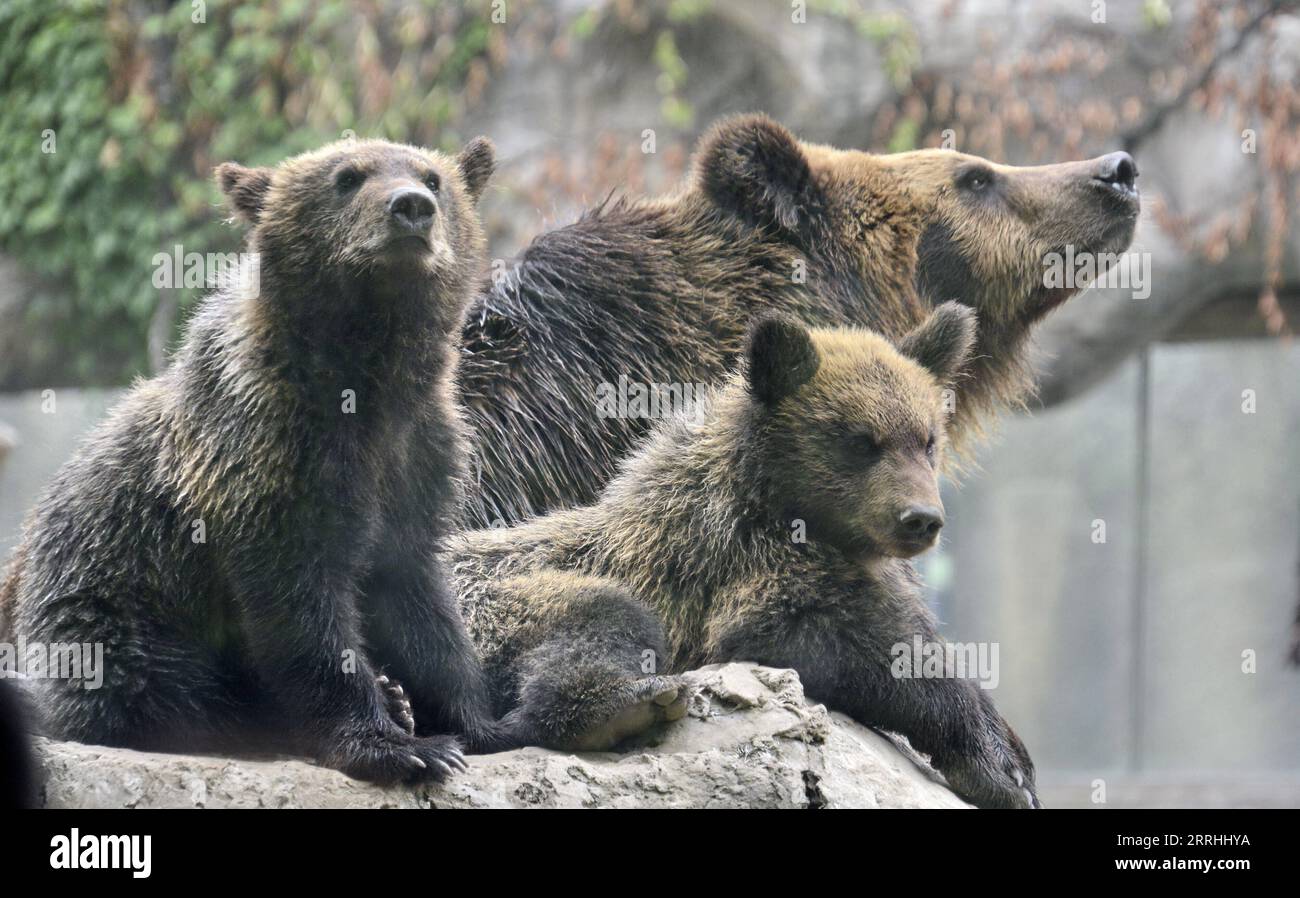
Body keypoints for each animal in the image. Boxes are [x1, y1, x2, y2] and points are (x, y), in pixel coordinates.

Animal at [1, 135, 501, 784]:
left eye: (434, 177)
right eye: (347, 177)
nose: (411, 208)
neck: (365, 379)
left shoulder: (416, 454)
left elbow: (417, 593)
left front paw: (475, 723)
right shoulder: (262, 458)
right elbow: (301, 607)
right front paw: (397, 745)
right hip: (108, 604)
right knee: (150, 687)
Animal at [452, 305, 1040, 810]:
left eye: (927, 439)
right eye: (860, 440)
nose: (920, 518)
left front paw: (1006, 754)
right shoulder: (736, 575)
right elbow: (836, 644)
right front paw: (996, 766)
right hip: (487, 601)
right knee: (598, 618)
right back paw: (625, 704)